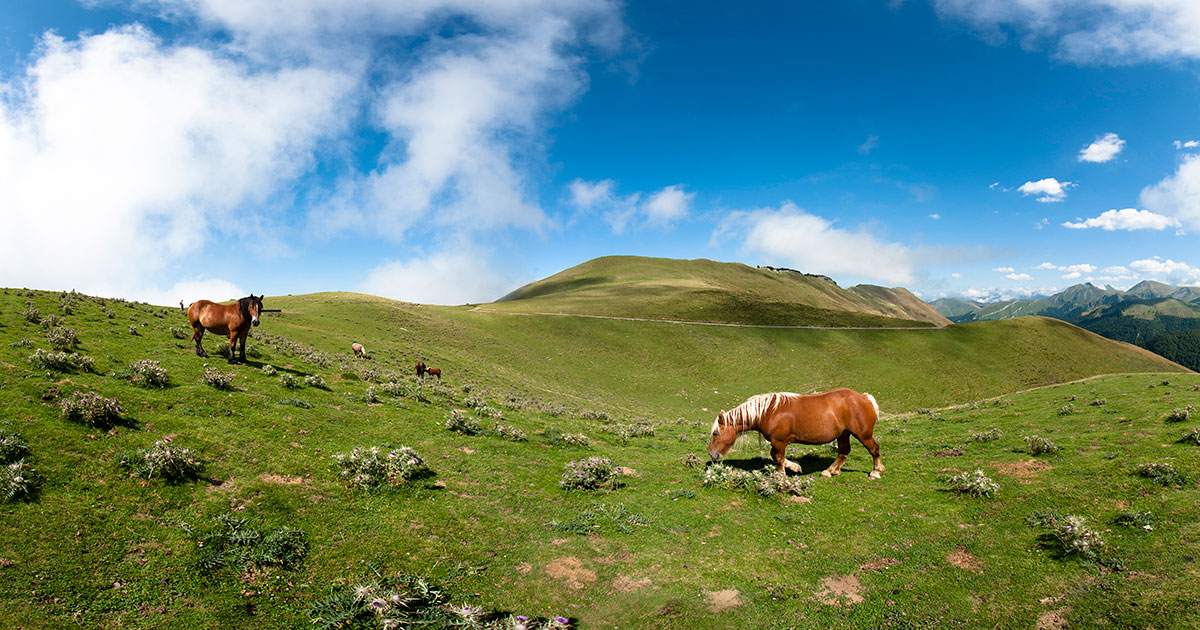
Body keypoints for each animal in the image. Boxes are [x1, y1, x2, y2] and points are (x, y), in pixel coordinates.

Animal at [700, 386, 883, 480]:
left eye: (715, 433)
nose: (711, 454)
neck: (768, 412)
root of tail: (864, 397)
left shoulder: (779, 441)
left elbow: (778, 458)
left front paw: (781, 475)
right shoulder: (777, 442)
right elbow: (776, 457)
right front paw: (795, 467)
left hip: (863, 434)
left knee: (874, 449)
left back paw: (875, 471)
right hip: (843, 434)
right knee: (843, 452)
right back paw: (830, 471)